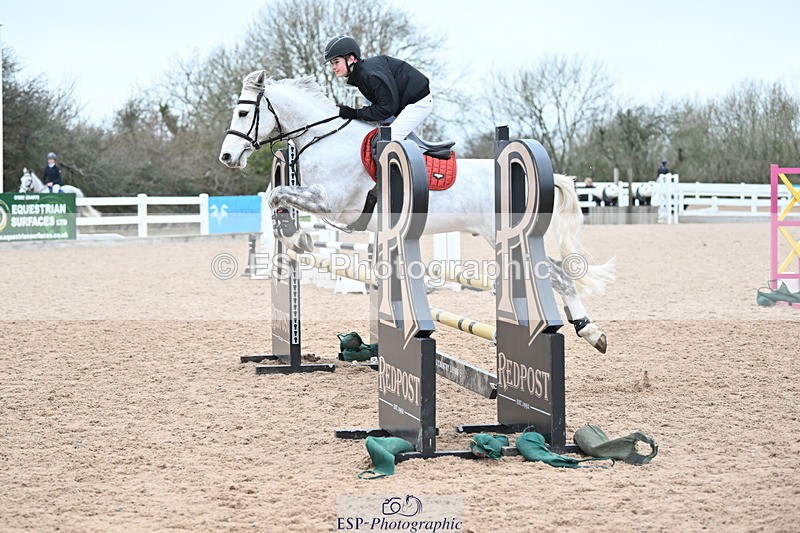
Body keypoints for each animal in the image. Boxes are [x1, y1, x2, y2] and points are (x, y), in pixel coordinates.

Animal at [218, 71, 615, 353]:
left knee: (558, 277)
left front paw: (297, 238)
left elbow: (278, 195)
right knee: (555, 275)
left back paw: (591, 331)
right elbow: (277, 197)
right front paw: (294, 237)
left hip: (505, 235)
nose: (226, 156)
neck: (325, 138)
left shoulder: (331, 201)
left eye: (243, 111)